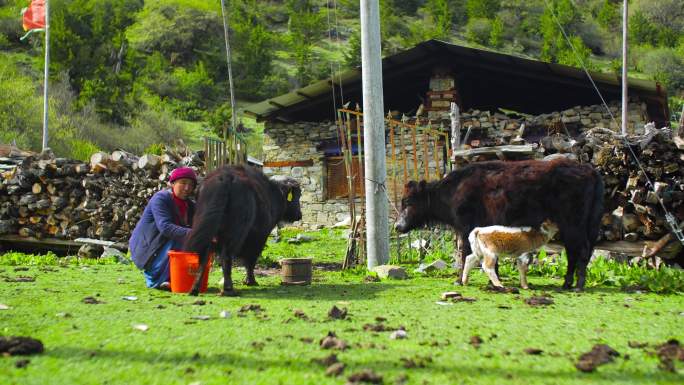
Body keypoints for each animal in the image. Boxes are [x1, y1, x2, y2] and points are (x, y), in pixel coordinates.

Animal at [396, 158, 604, 288]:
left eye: (408, 201)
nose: (397, 226)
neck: (453, 191)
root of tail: (589, 170)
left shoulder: (466, 229)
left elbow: (463, 253)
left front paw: (459, 280)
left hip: (574, 224)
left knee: (580, 251)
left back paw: (577, 286)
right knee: (574, 253)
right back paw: (567, 284)